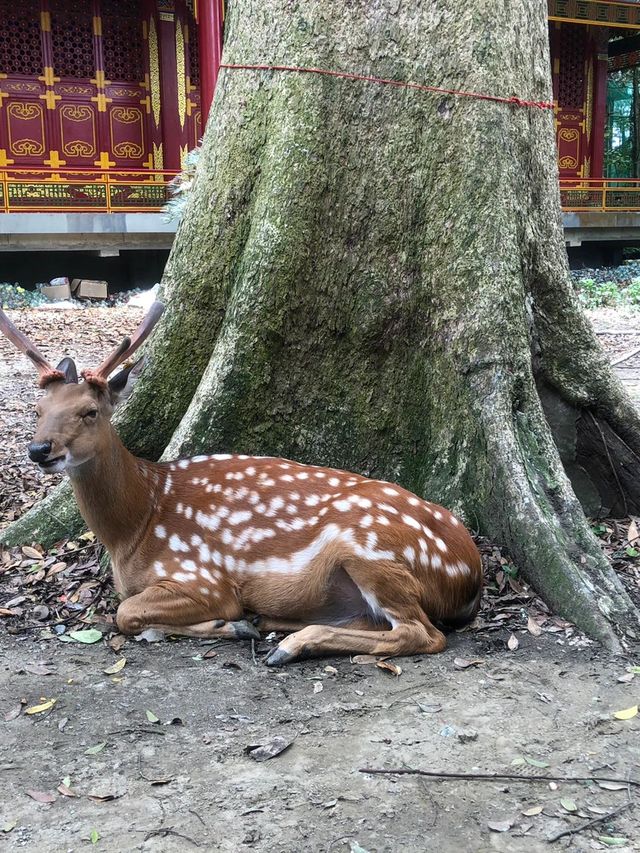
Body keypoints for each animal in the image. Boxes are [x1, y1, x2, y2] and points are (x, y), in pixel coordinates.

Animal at [0, 302, 480, 664]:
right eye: (38, 410)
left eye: (90, 411)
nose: (40, 450)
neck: (136, 527)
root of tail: (471, 570)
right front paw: (235, 625)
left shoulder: (203, 576)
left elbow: (126, 612)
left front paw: (228, 624)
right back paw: (274, 626)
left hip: (369, 550)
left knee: (424, 633)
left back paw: (286, 645)